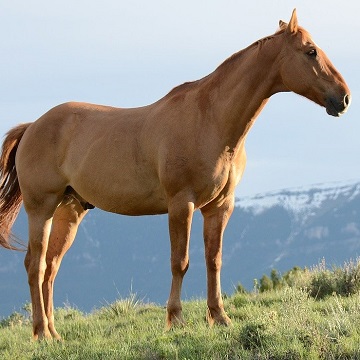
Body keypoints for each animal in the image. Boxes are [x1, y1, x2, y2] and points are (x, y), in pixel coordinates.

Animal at [0, 9, 350, 340]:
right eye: (310, 51)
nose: (344, 98)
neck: (210, 119)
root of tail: (32, 126)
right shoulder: (182, 204)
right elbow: (179, 262)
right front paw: (176, 320)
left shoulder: (220, 206)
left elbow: (213, 260)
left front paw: (219, 317)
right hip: (41, 208)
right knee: (35, 265)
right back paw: (41, 333)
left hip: (69, 211)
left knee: (50, 268)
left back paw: (54, 333)